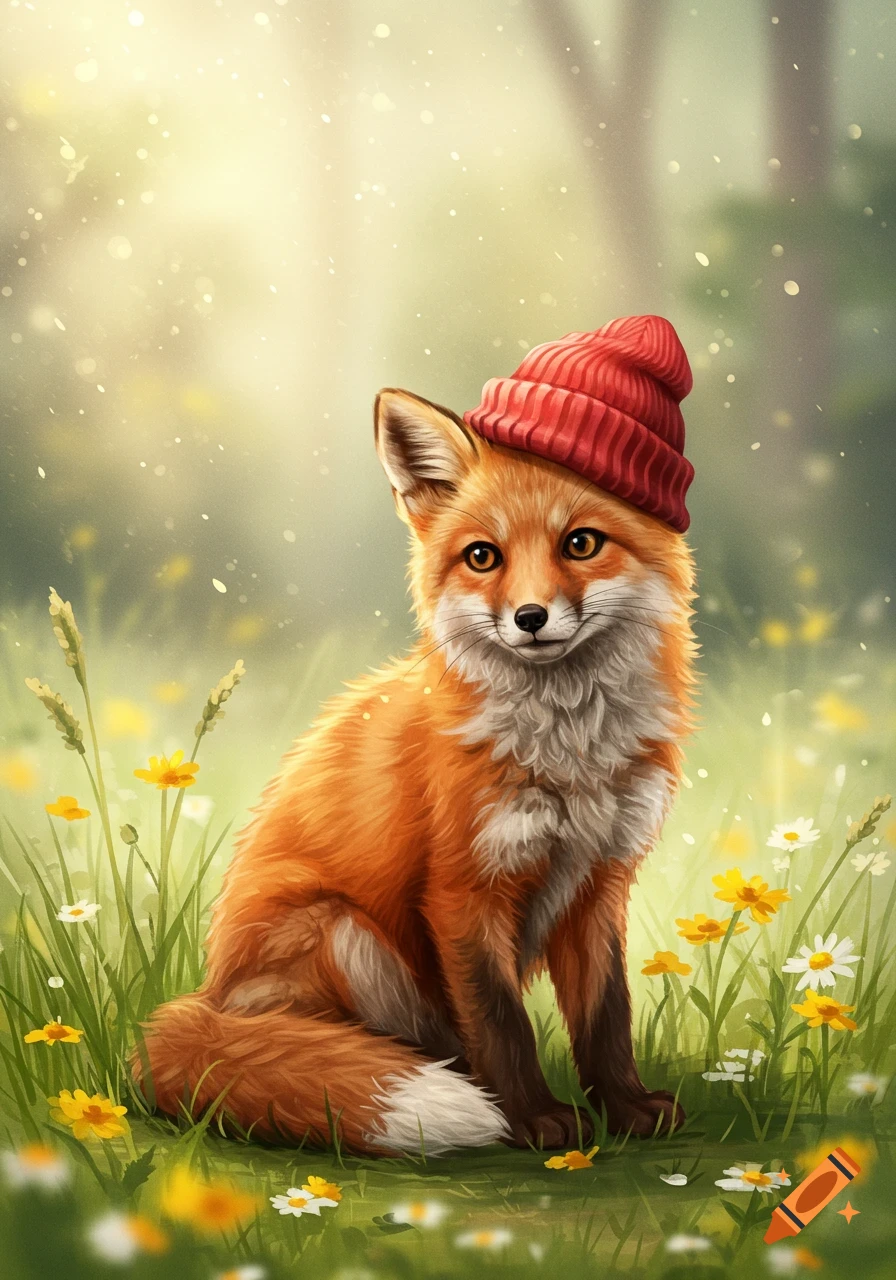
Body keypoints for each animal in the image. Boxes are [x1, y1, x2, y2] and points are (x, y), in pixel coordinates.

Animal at [135, 318, 697, 1155]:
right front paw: (531, 1120)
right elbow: (502, 1022)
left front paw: (625, 1109)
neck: (570, 756)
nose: (531, 618)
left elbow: (606, 1017)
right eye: (482, 557)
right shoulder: (463, 889)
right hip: (343, 933)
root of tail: (208, 1001)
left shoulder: (600, 882)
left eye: (581, 544)